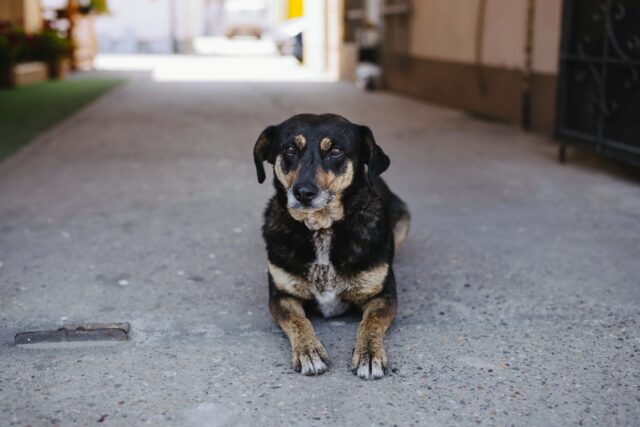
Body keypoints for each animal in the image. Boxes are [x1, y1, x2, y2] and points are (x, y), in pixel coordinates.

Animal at [251, 113, 410, 382]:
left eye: (336, 151)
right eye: (290, 149)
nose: (303, 192)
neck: (322, 227)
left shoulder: (383, 295)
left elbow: (372, 322)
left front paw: (369, 354)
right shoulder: (281, 296)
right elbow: (298, 321)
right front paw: (310, 351)